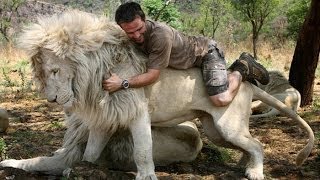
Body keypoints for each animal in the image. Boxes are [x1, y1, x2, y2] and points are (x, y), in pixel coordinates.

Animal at [0, 10, 314, 180]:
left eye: (54, 71)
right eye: (43, 74)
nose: (51, 100)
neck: (95, 72)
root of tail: (246, 85)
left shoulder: (136, 110)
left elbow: (142, 148)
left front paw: (146, 174)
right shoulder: (106, 117)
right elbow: (89, 153)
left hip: (227, 122)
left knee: (258, 144)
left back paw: (255, 170)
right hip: (216, 131)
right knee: (248, 144)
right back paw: (244, 162)